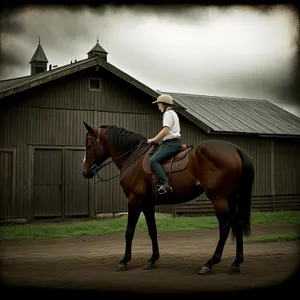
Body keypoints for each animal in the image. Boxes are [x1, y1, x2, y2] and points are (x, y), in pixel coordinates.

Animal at [82, 121, 255, 274]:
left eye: (89, 146)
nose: (85, 172)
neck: (133, 158)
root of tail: (235, 148)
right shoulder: (147, 204)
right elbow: (152, 230)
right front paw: (152, 259)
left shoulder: (134, 200)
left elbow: (129, 231)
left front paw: (124, 261)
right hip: (230, 200)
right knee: (238, 225)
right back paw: (236, 263)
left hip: (219, 199)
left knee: (225, 228)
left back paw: (210, 263)